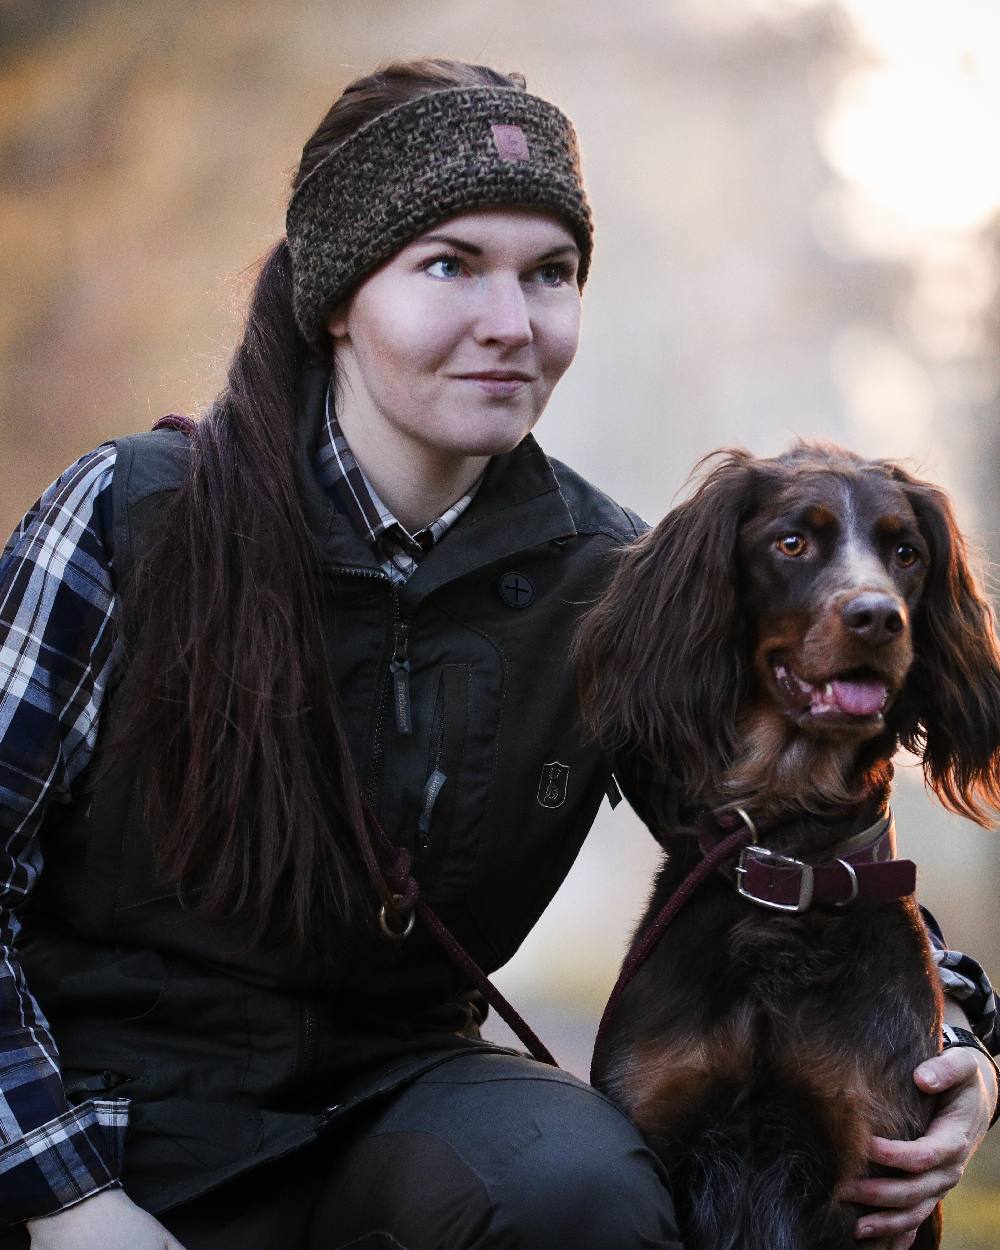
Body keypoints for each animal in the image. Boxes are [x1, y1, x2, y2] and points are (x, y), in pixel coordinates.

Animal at [577, 445, 1000, 1245]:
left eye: (907, 553)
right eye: (793, 542)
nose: (878, 618)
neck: (788, 859)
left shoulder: (873, 1172)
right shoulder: (658, 1128)